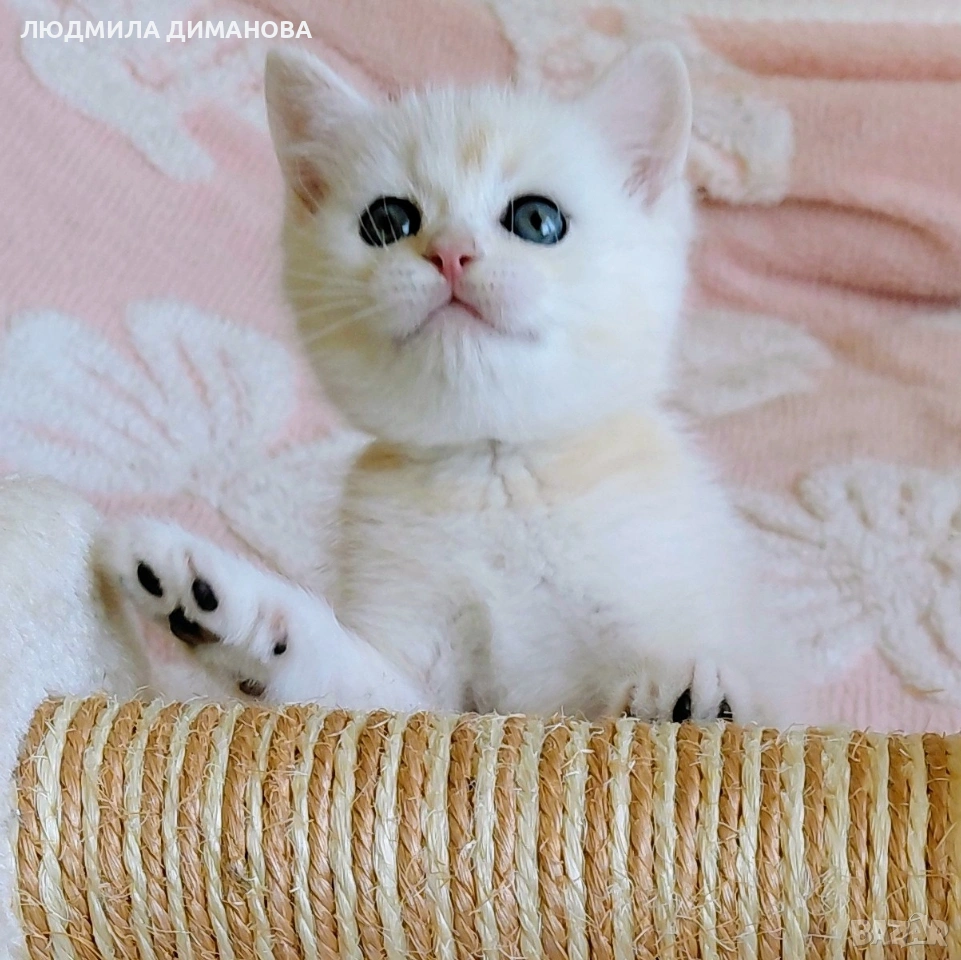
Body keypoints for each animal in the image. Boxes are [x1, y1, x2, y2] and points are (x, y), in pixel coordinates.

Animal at [98, 44, 799, 723]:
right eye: (388, 221)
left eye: (537, 219)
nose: (451, 253)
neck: (495, 475)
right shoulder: (418, 684)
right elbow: (361, 687)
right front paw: (221, 607)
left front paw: (689, 701)